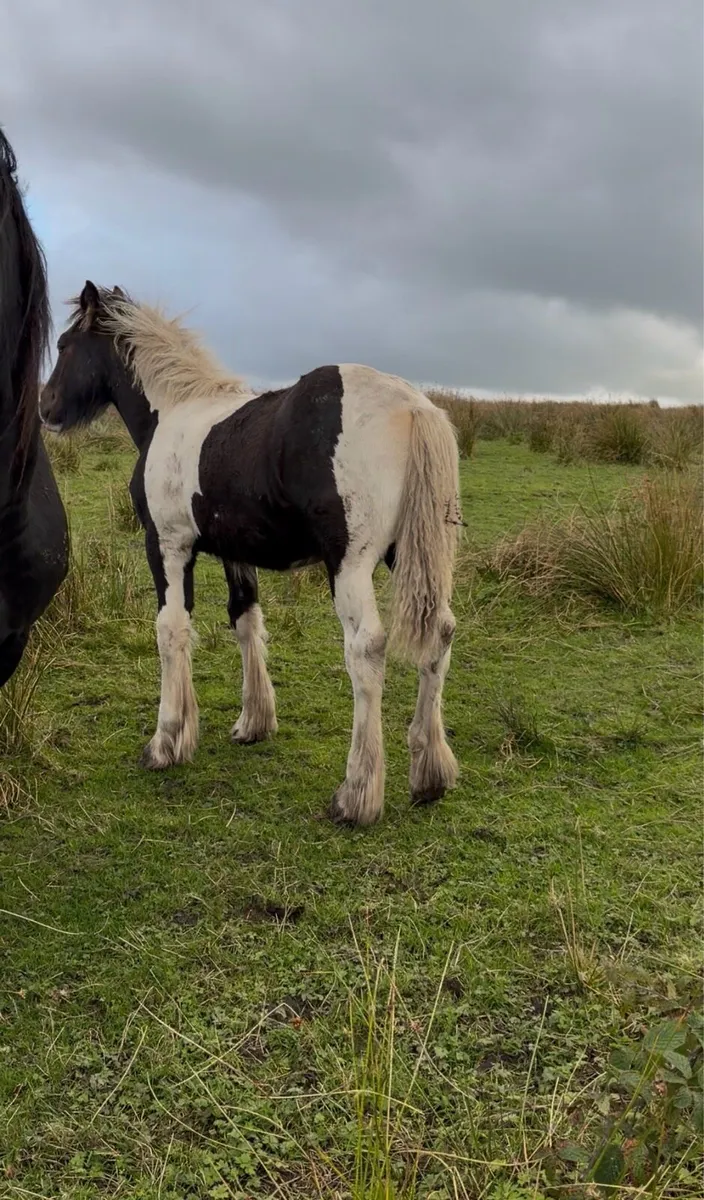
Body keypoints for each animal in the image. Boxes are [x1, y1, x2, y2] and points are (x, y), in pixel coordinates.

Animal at [40, 281, 460, 825]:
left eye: (65, 345)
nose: (46, 407)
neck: (173, 410)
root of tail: (414, 408)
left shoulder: (168, 545)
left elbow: (171, 630)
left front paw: (166, 742)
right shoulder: (234, 551)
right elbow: (245, 620)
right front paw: (255, 722)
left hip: (350, 565)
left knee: (367, 648)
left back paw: (356, 795)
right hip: (411, 555)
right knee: (440, 634)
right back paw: (430, 775)